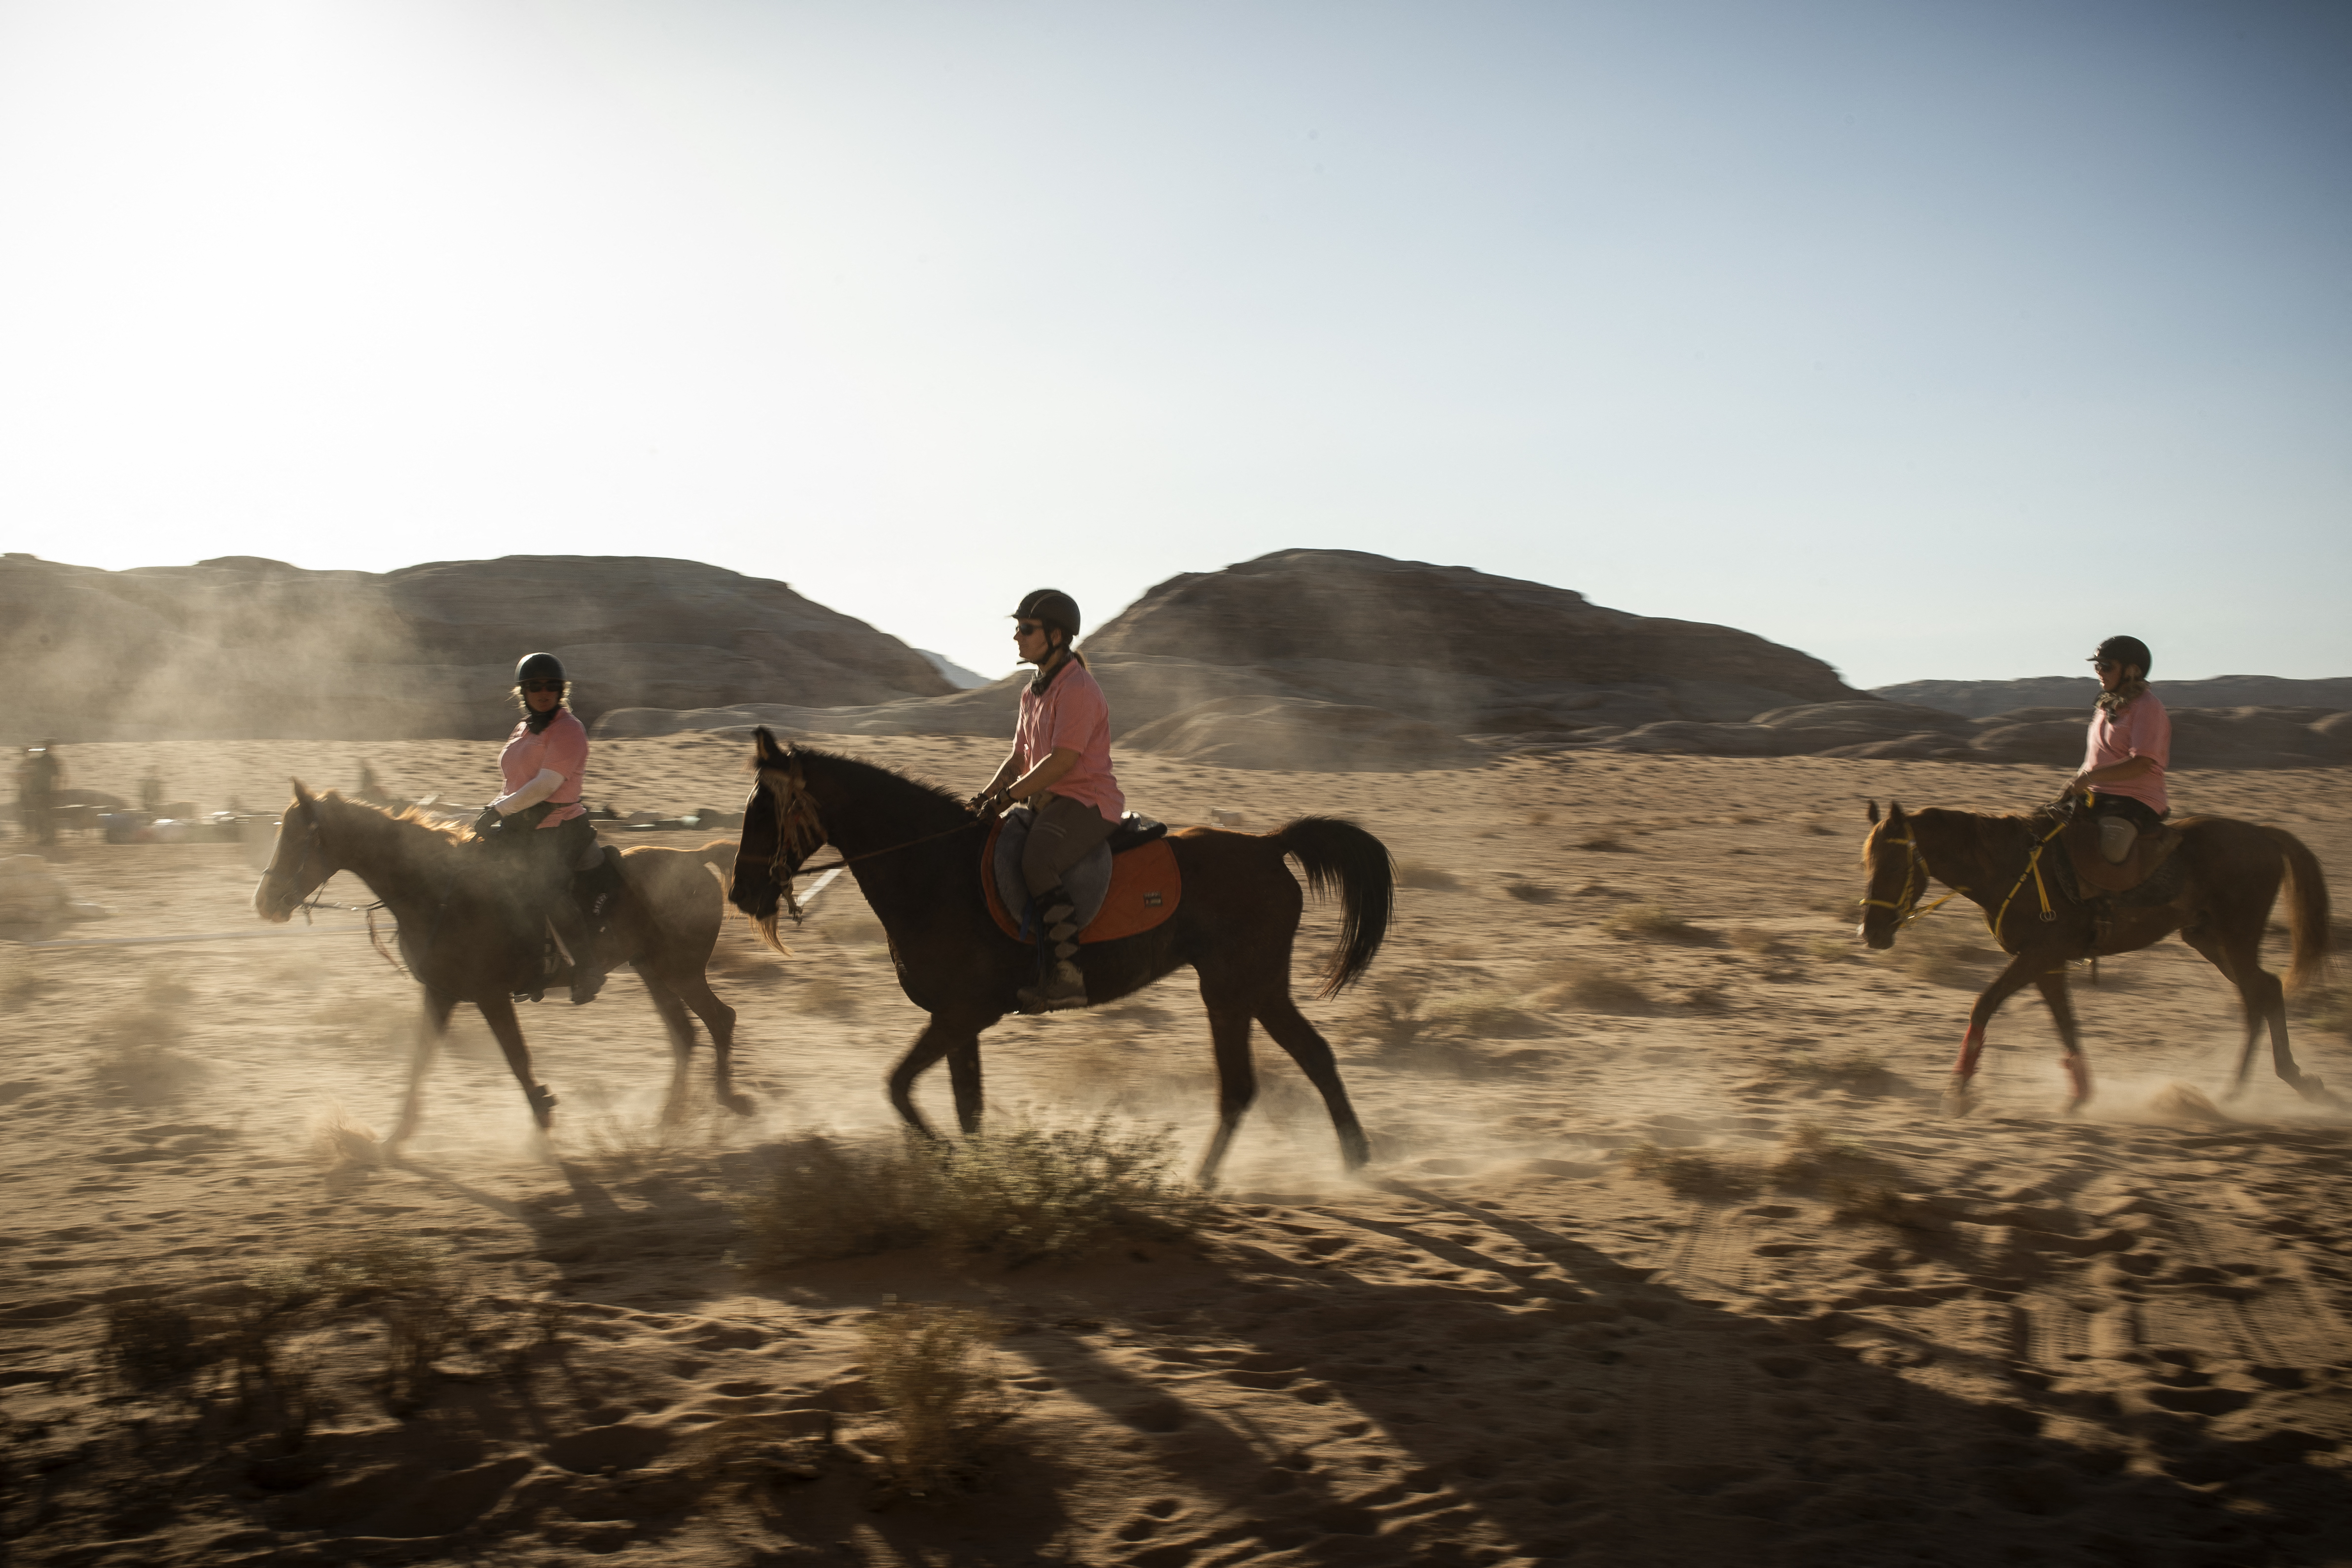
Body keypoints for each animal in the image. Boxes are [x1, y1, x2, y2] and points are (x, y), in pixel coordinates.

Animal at [250, 790, 743, 1147]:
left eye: (296, 839)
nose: (265, 902)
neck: (440, 892)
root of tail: (694, 856)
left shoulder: (490, 995)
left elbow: (517, 1058)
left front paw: (543, 1116)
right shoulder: (441, 992)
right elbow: (421, 1057)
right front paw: (397, 1133)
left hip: (680, 971)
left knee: (720, 1019)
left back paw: (728, 1104)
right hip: (652, 972)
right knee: (685, 1034)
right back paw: (670, 1119)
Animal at [729, 729, 1392, 1185]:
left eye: (764, 811)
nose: (740, 893)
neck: (934, 869)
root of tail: (1267, 844)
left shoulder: (962, 1013)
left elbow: (897, 1086)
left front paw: (947, 1161)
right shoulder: (959, 1020)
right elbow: (966, 1106)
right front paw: (975, 1173)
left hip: (1231, 989)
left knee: (1242, 1084)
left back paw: (1206, 1179)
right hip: (1258, 987)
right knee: (1310, 1056)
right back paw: (1353, 1160)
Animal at [1853, 799, 2333, 1114]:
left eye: (1893, 865)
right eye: (1865, 865)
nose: (1871, 934)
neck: (2009, 868)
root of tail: (2263, 834)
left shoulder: (2040, 954)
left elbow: (1984, 1004)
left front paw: (1957, 1091)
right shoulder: (2046, 961)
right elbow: (2065, 1023)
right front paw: (2081, 1093)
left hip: (2236, 936)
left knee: (2260, 992)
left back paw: (2257, 1086)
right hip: (2208, 938)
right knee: (2261, 991)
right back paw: (2262, 1086)